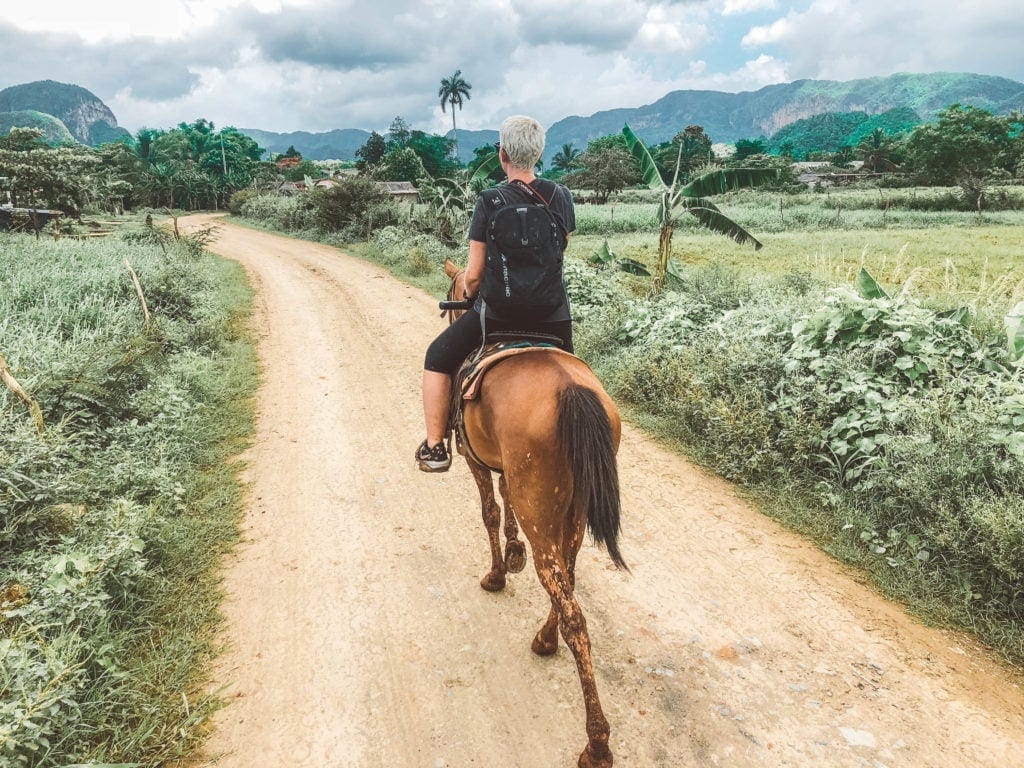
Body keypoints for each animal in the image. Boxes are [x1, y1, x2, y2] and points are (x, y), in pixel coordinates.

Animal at [440, 260, 622, 768]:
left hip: (539, 499)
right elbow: (504, 503)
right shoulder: (505, 466)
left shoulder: (475, 460)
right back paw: (545, 637)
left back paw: (596, 743)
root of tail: (572, 389)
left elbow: (489, 511)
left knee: (571, 604)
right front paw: (513, 551)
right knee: (568, 576)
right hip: (569, 509)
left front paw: (498, 573)